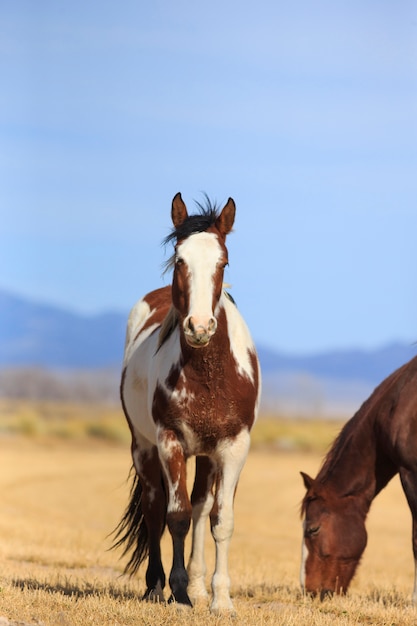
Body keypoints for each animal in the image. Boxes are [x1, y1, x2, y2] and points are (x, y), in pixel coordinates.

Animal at [112, 191, 258, 608]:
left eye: (223, 262)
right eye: (180, 260)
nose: (199, 327)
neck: (209, 376)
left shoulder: (233, 446)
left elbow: (220, 519)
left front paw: (219, 599)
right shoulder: (169, 440)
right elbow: (175, 516)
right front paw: (178, 593)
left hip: (207, 455)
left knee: (201, 507)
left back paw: (197, 585)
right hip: (143, 447)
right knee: (154, 508)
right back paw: (156, 585)